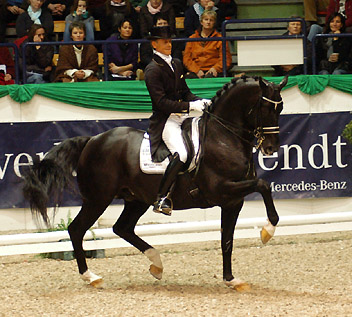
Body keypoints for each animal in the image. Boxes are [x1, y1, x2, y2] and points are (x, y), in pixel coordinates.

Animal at [22, 75, 288, 290]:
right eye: (265, 106)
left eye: (281, 107)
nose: (271, 148)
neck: (223, 137)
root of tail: (92, 140)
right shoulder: (221, 190)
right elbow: (263, 185)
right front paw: (268, 231)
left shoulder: (233, 202)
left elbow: (227, 241)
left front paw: (231, 280)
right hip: (97, 199)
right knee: (77, 229)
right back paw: (91, 277)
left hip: (136, 199)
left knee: (122, 228)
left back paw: (156, 264)